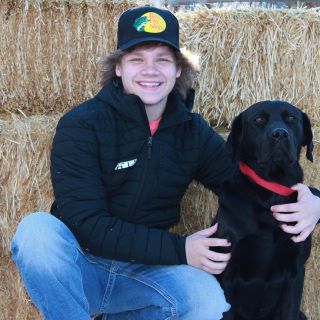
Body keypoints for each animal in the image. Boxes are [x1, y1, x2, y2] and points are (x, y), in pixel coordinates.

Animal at [214, 100, 314, 320]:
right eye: (259, 119)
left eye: (291, 118)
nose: (280, 134)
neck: (270, 193)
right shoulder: (226, 274)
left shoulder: (295, 273)